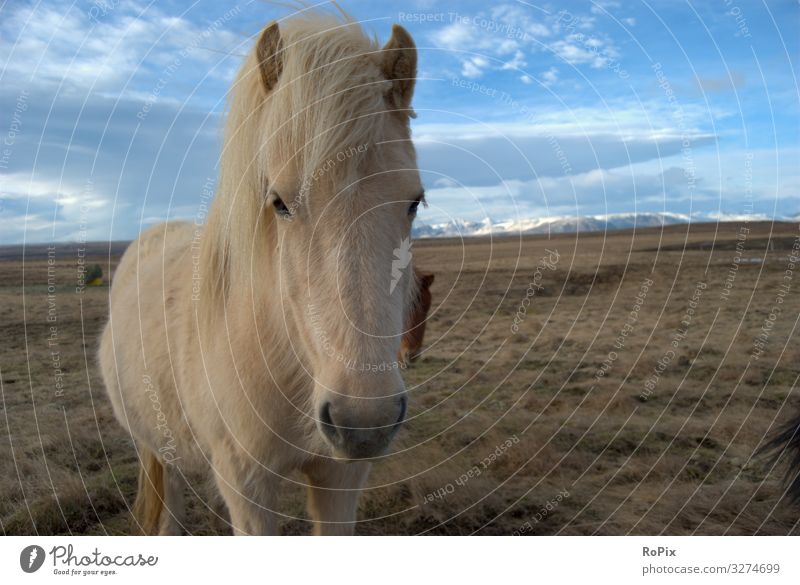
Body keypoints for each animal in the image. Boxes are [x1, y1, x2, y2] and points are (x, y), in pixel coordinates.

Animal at [98, 13, 424, 532]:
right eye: (279, 203)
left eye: (414, 202)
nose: (363, 422)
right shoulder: (245, 486)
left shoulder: (339, 478)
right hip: (157, 447)